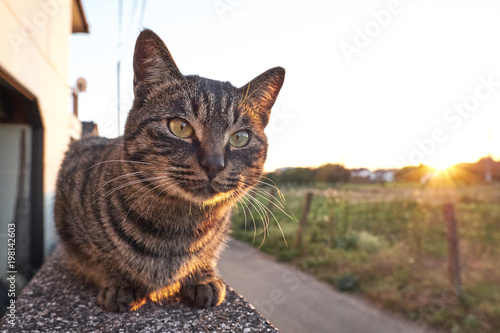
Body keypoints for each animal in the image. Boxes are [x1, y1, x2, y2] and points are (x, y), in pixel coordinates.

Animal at [54, 28, 286, 312]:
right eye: (180, 127)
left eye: (240, 138)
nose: (214, 164)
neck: (180, 226)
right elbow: (100, 258)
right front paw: (120, 282)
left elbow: (209, 255)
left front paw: (202, 277)